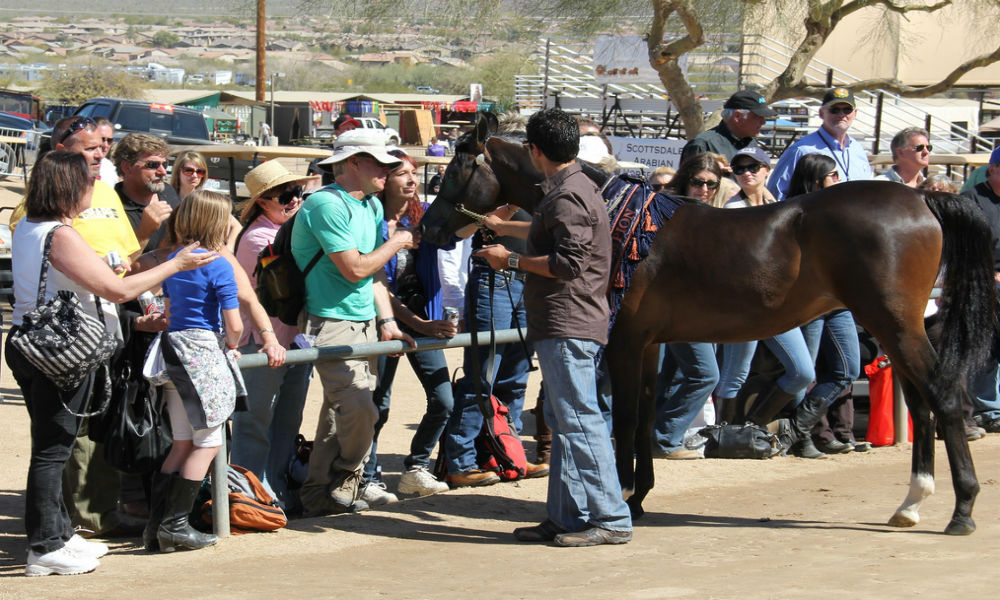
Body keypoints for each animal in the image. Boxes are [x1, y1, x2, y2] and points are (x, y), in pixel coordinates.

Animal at [422, 112, 1000, 536]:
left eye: (452, 172)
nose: (428, 228)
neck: (617, 221)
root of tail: (920, 195)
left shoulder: (625, 341)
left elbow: (626, 418)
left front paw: (626, 496)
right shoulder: (650, 343)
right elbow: (647, 414)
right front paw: (641, 496)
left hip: (896, 324)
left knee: (943, 398)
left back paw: (961, 511)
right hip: (890, 327)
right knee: (922, 404)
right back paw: (912, 503)